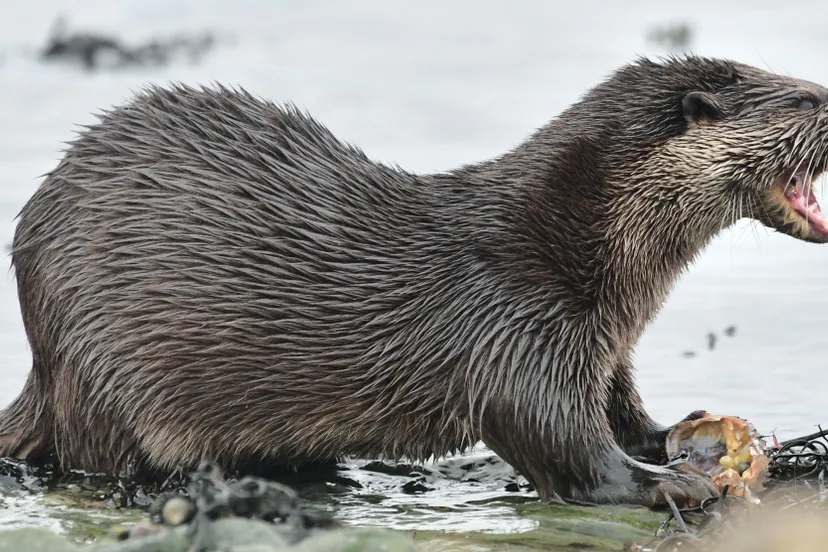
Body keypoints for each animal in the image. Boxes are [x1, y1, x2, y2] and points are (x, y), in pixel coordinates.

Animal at [1, 55, 826, 508]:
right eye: (809, 99)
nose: (822, 94)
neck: (573, 244)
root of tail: (43, 357)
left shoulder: (601, 345)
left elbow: (620, 410)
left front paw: (676, 438)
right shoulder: (516, 330)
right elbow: (564, 449)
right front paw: (669, 485)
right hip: (100, 372)